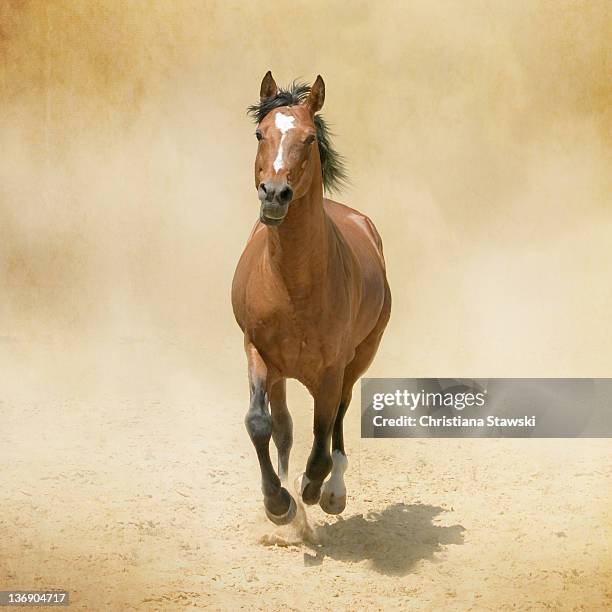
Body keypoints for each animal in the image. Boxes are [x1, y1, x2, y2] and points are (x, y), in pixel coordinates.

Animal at [230, 70, 392, 520]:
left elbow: (321, 443)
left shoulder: (333, 367)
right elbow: (261, 424)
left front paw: (313, 489)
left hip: (360, 357)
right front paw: (278, 503)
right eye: (259, 133)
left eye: (309, 138)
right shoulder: (257, 350)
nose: (274, 193)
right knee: (283, 427)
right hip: (281, 371)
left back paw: (332, 492)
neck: (294, 287)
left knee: (338, 417)